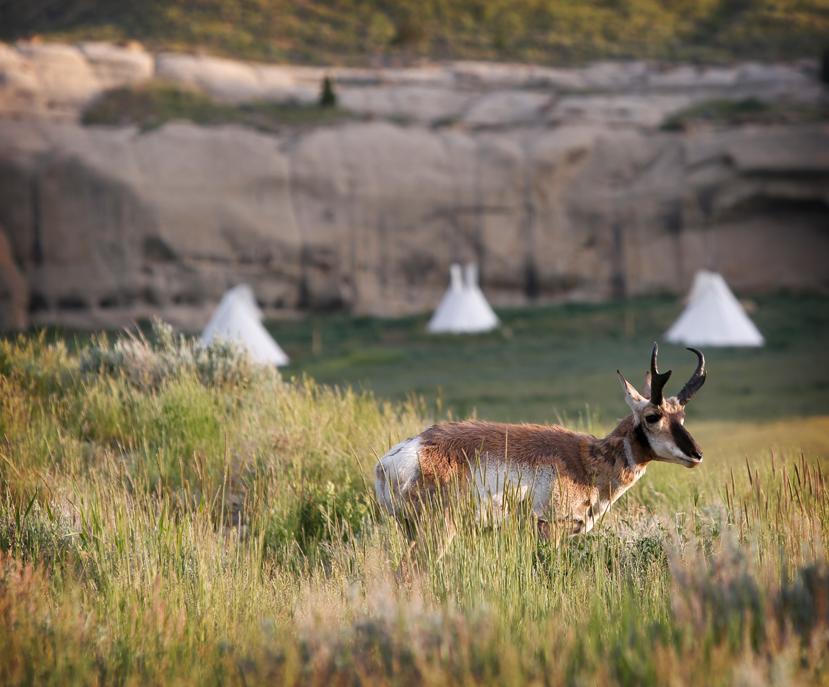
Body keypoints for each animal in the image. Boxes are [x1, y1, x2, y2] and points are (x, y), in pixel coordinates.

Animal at [376, 346, 704, 536]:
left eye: (682, 415)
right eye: (652, 416)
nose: (697, 454)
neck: (586, 460)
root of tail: (394, 458)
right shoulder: (551, 530)